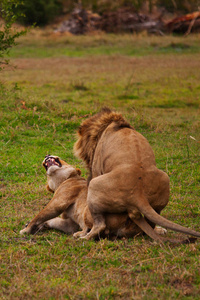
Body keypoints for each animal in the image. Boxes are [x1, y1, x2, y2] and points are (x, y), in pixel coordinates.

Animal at [73, 106, 200, 240]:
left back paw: (83, 238)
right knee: (151, 222)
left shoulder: (96, 167)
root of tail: (138, 194)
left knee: (100, 225)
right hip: (164, 179)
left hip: (94, 184)